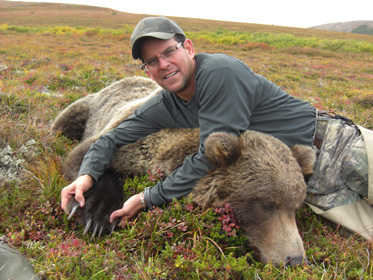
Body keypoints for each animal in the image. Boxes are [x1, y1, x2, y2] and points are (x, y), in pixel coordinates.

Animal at [52, 76, 314, 266]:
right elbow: (85, 155)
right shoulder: (132, 138)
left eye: (295, 207)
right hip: (86, 108)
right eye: (268, 204)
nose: (295, 259)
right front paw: (97, 216)